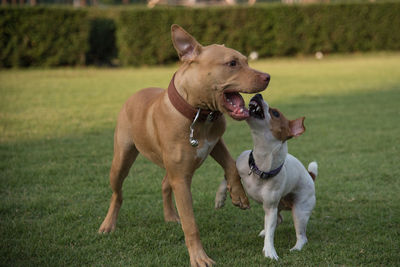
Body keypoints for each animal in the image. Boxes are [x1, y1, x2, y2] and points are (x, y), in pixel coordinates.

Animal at [98, 24, 270, 266]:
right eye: (232, 63)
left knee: (163, 184)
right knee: (117, 193)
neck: (199, 113)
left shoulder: (215, 143)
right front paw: (199, 257)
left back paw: (170, 215)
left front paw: (238, 195)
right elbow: (191, 224)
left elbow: (231, 165)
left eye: (246, 60)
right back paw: (108, 223)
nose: (268, 77)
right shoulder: (181, 180)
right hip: (121, 162)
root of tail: (135, 94)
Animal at [217, 93, 318, 260]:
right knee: (280, 219)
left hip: (299, 211)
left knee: (301, 236)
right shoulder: (237, 167)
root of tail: (310, 176)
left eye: (275, 113)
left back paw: (296, 248)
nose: (258, 94)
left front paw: (270, 251)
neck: (260, 166)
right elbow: (226, 180)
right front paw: (219, 199)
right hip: (282, 206)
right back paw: (264, 231)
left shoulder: (270, 209)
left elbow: (271, 232)